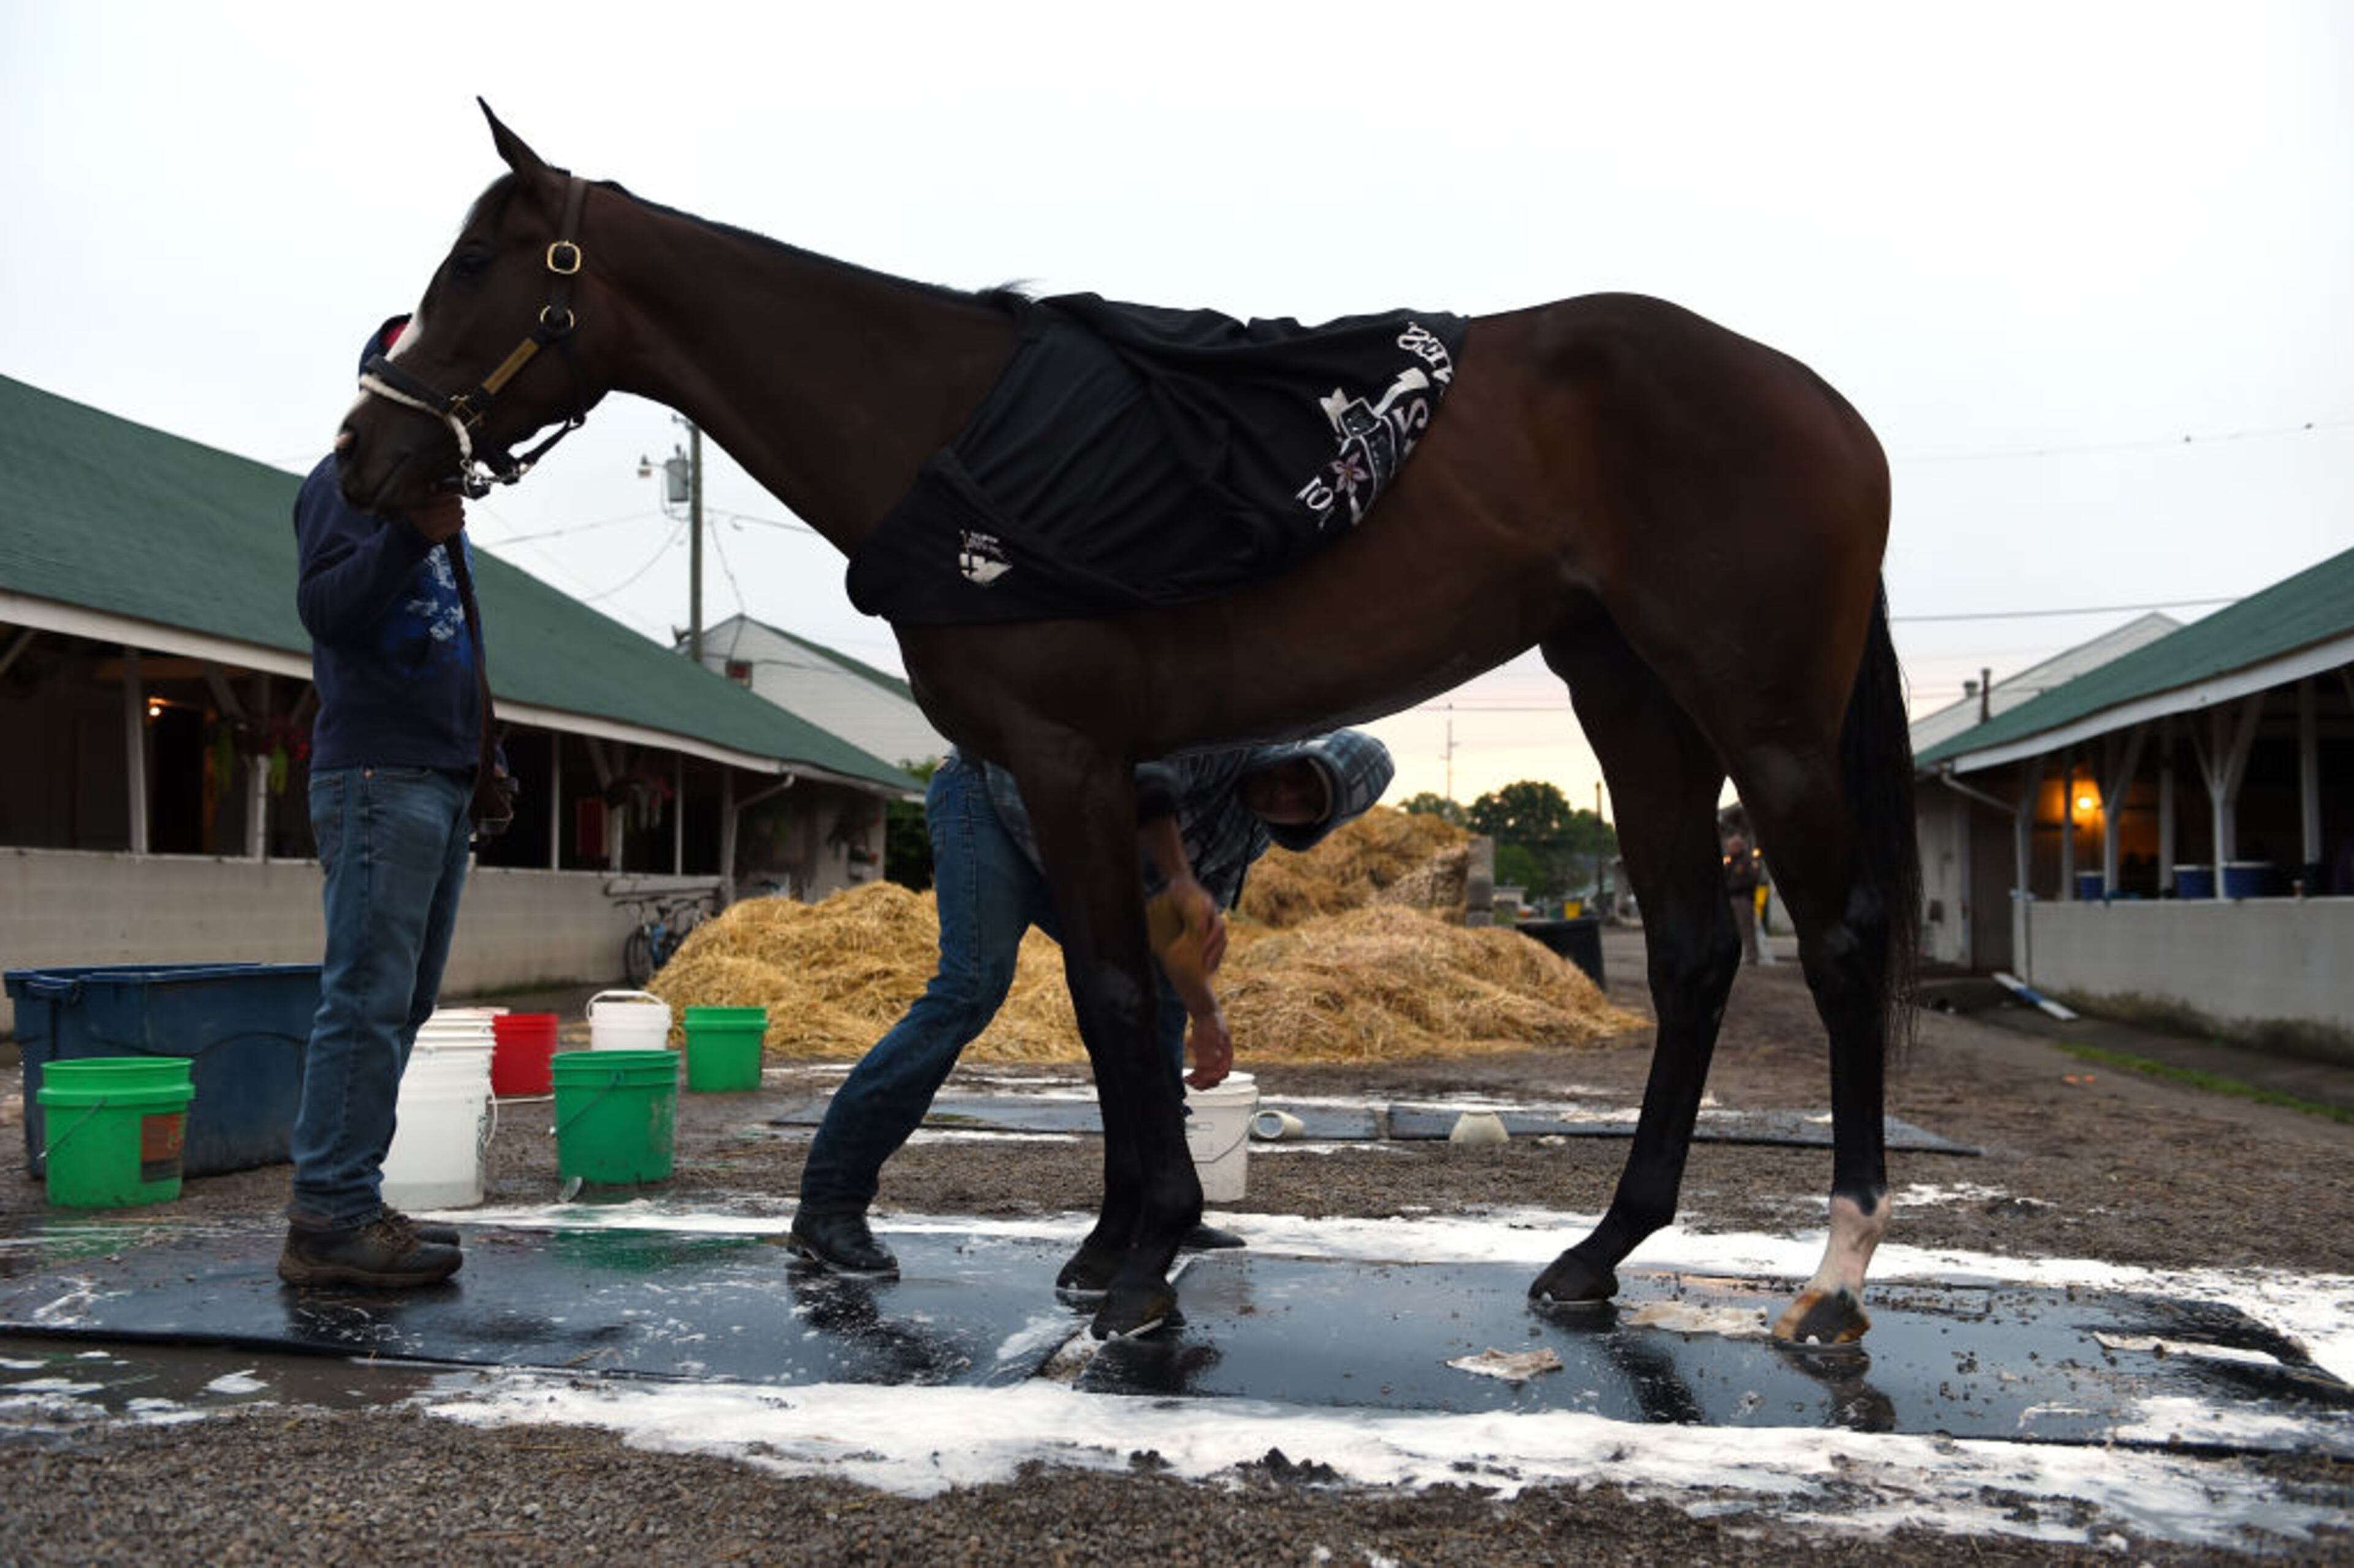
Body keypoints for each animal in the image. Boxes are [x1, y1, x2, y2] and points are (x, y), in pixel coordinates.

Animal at [337, 103, 1921, 1346]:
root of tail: (1831, 411)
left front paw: (1142, 1258)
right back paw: (1598, 1256)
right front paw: (1125, 1238)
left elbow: (1108, 993)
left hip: (1763, 724)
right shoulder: (1081, 777)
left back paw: (1836, 1274)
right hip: (1629, 697)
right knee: (1697, 952)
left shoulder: (1066, 757)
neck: (950, 429)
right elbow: (1125, 990)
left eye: (474, 267)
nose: (369, 452)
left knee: (1842, 948)